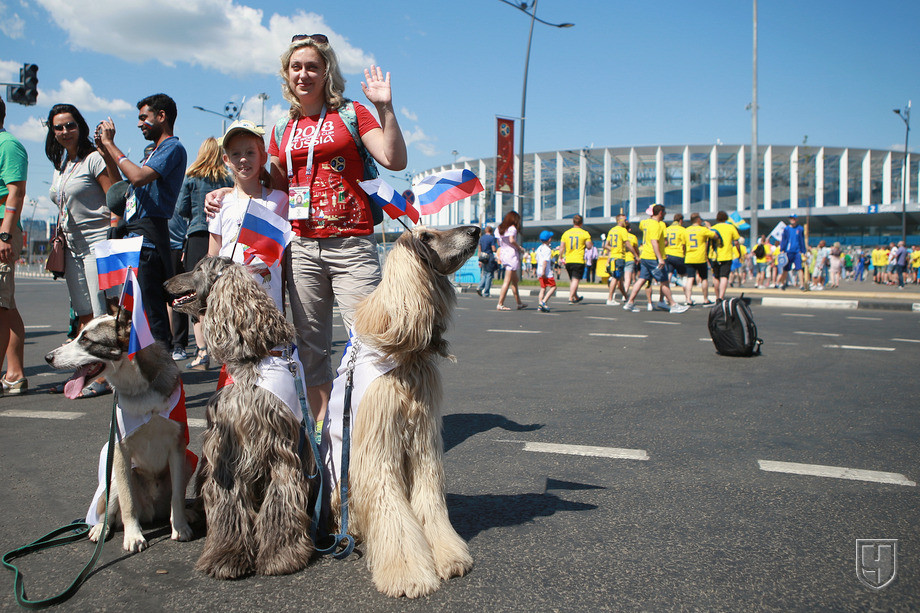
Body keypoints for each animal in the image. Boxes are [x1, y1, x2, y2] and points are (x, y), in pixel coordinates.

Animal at [45, 309, 195, 552]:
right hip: (113, 478)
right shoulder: (120, 450)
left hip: (188, 461)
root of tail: (151, 513)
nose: (48, 358)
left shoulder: (177, 447)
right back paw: (100, 528)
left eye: (86, 340)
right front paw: (133, 536)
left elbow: (178, 497)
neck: (140, 390)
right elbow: (127, 503)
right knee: (108, 512)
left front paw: (180, 527)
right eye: (77, 336)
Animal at [166, 256, 314, 579]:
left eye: (198, 268)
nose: (165, 282)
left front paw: (281, 554)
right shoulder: (226, 451)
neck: (252, 363)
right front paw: (226, 556)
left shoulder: (280, 449)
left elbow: (281, 499)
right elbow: (229, 505)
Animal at [324, 225, 480, 598]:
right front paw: (408, 573)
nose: (477, 230)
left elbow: (430, 496)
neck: (403, 355)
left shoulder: (423, 434)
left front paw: (449, 555)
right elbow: (390, 507)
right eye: (425, 237)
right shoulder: (378, 443)